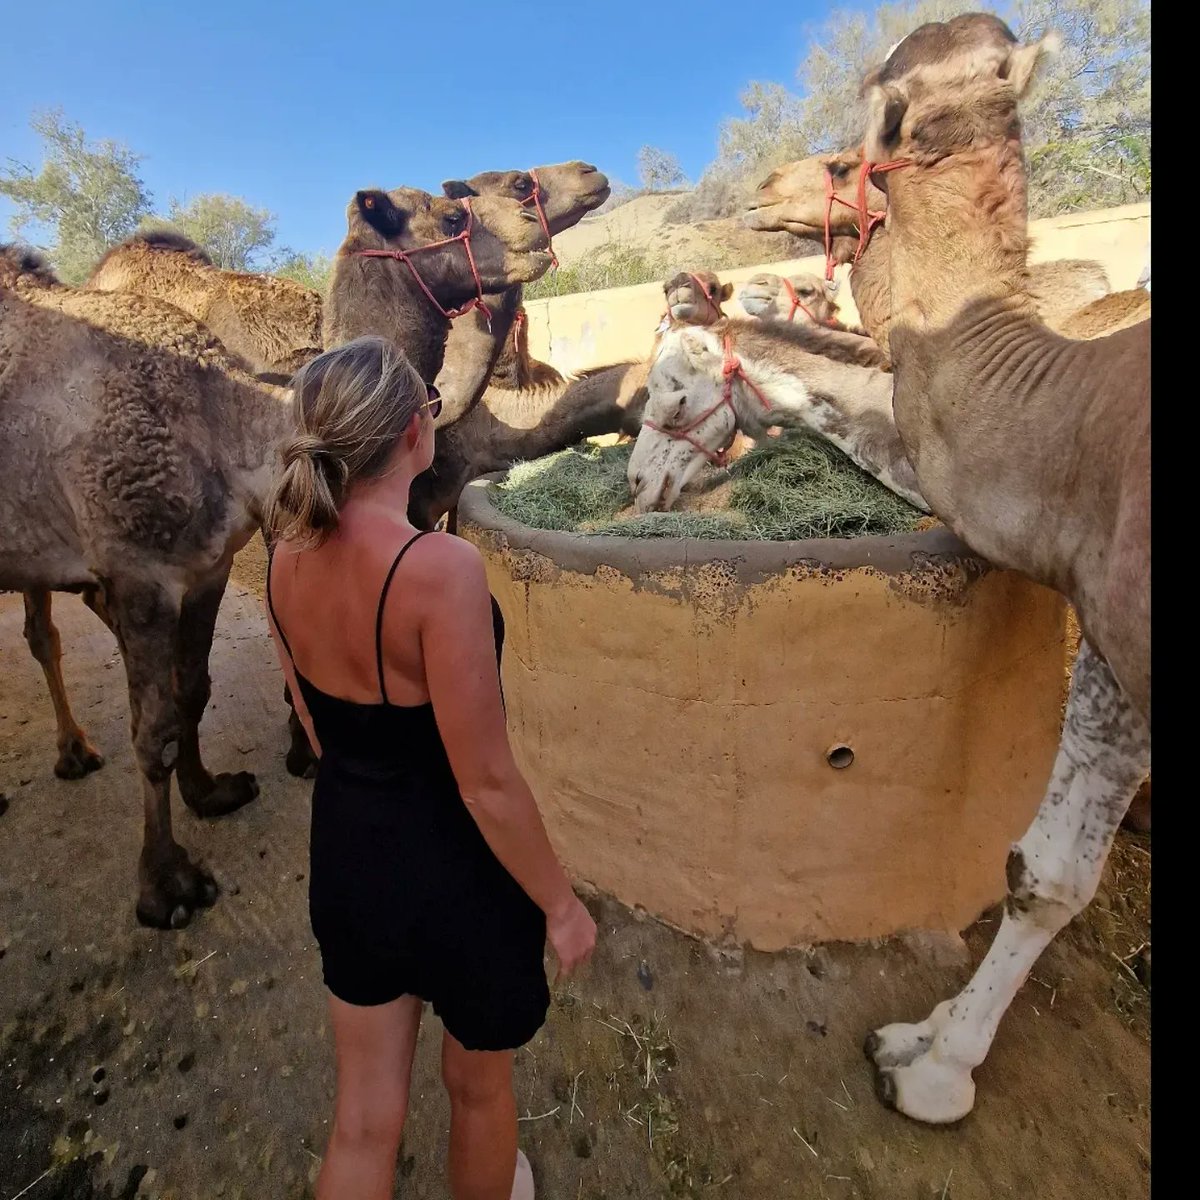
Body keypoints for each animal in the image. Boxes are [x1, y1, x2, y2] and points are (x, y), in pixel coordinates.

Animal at [847, 13, 1149, 1124]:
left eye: (877, 104)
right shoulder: (1112, 637)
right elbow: (1050, 873)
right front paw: (928, 1042)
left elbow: (1043, 871)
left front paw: (932, 1070)